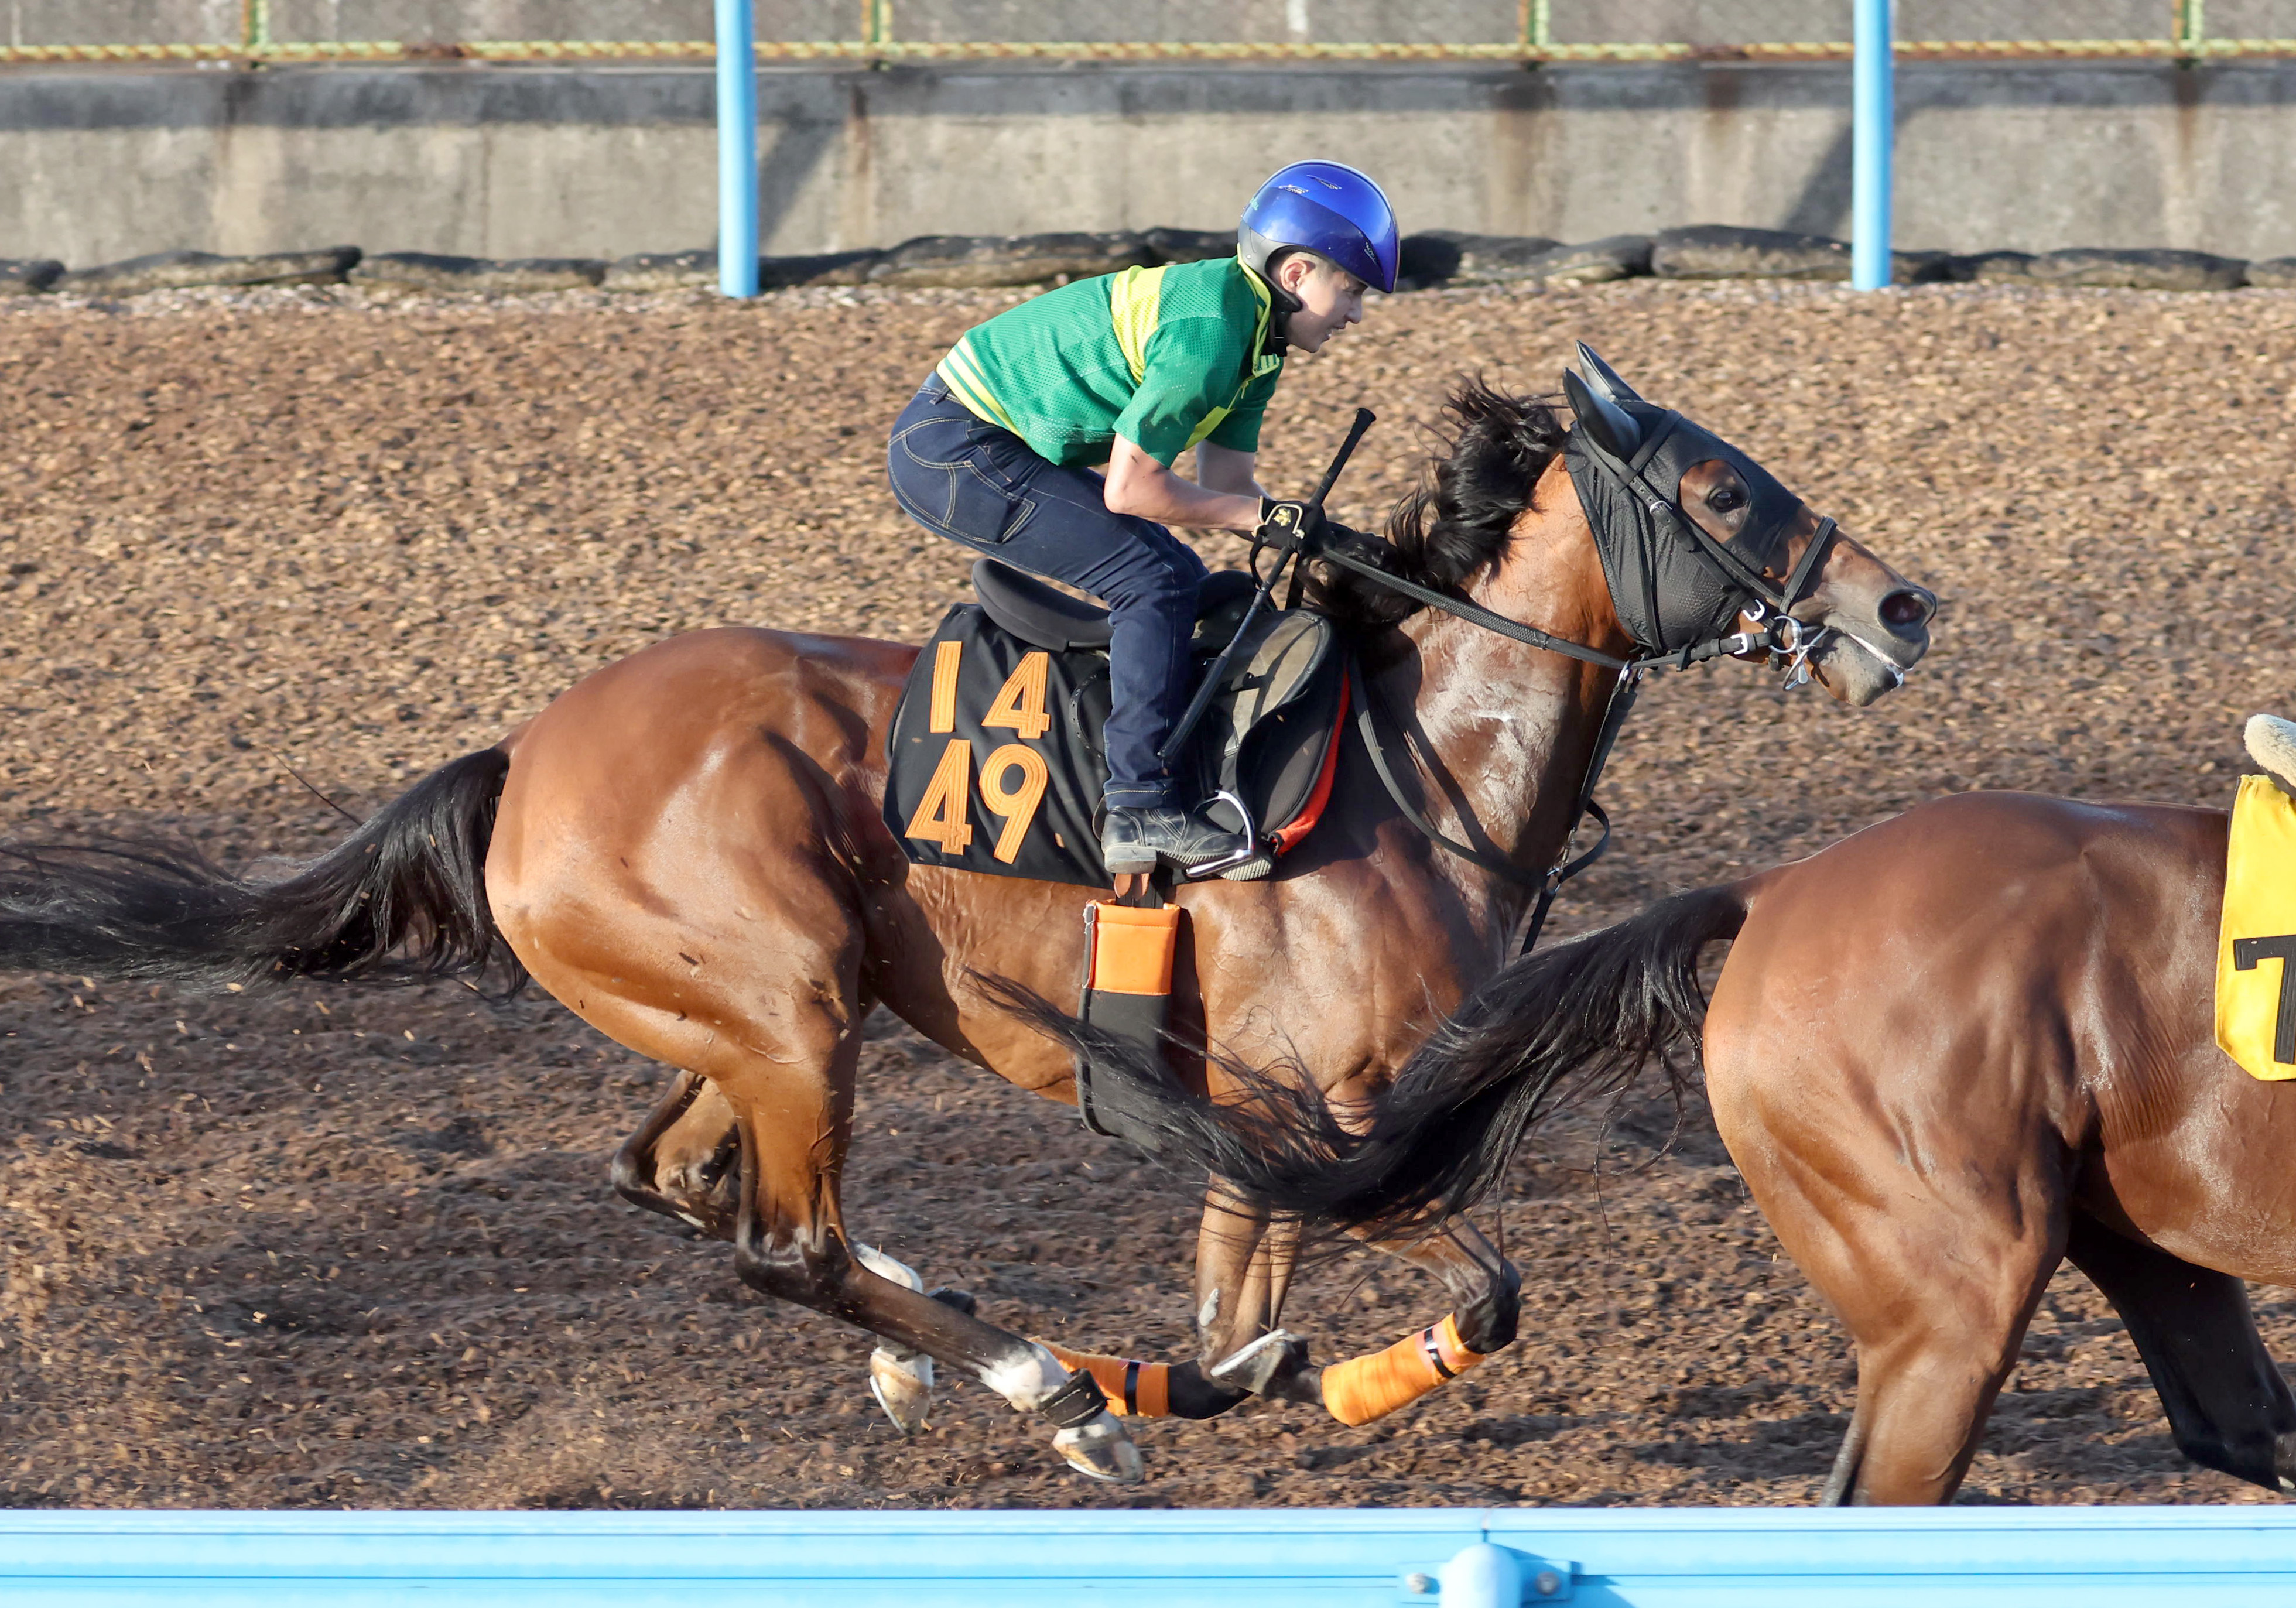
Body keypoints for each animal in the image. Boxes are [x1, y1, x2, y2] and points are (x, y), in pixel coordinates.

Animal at [0, 365, 1938, 1479]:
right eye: (1723, 492)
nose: (1900, 605)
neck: (1415, 761)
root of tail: (524, 755)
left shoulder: (1272, 1132)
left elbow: (1245, 1301)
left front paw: (1233, 1379)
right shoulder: (1329, 1114)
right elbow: (1475, 1283)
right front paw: (1269, 1389)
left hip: (744, 1012)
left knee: (680, 1183)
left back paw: (996, 1366)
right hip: (785, 1002)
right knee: (779, 1239)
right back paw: (1039, 1382)